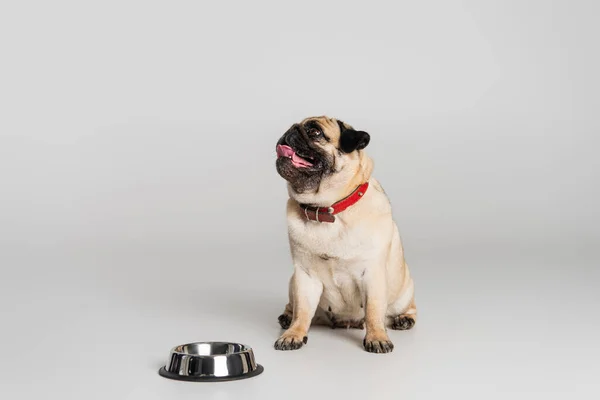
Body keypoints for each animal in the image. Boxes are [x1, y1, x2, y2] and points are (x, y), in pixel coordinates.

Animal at [274, 115, 418, 354]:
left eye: (315, 132)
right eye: (293, 127)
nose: (291, 131)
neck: (327, 209)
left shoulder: (372, 274)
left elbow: (373, 311)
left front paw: (377, 337)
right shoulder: (305, 276)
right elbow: (302, 311)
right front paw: (294, 334)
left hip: (404, 290)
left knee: (405, 308)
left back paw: (403, 319)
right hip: (292, 282)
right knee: (294, 307)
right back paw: (286, 317)